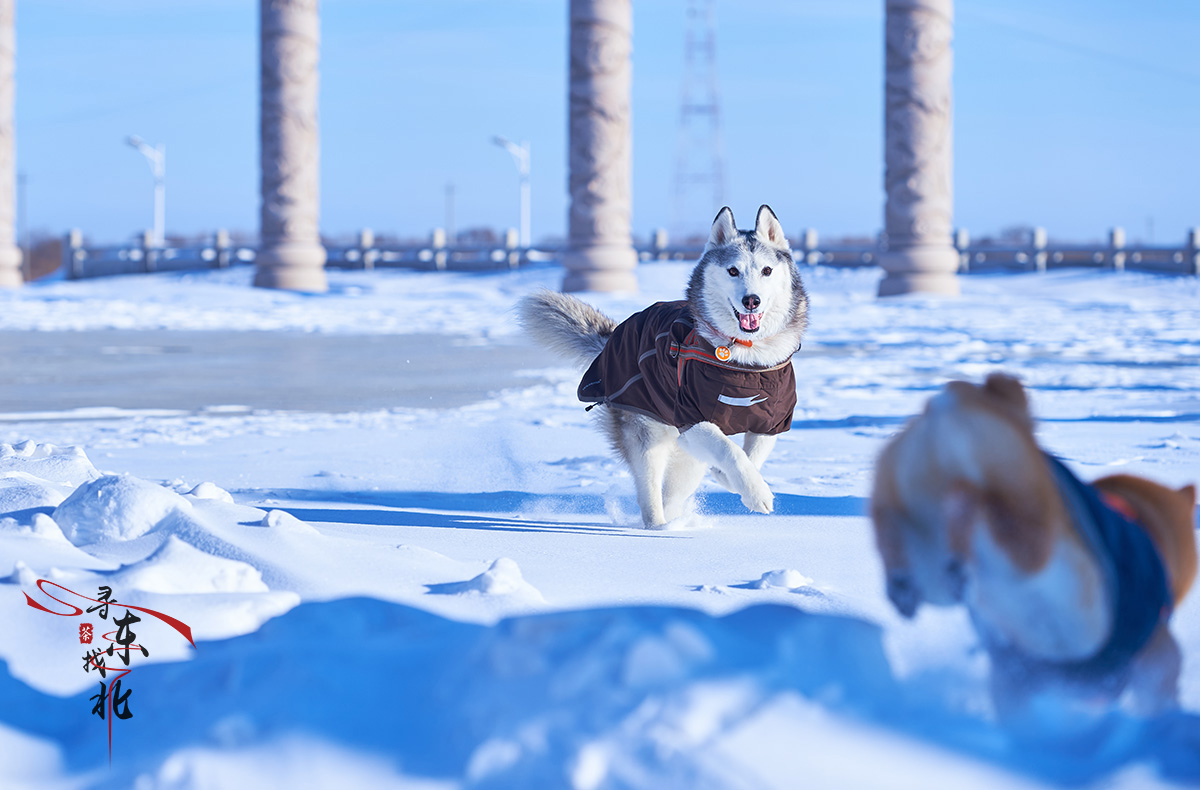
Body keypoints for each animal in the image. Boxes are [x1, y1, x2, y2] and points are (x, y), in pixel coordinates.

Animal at [868, 372, 1195, 710]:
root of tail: (953, 404)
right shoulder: (1156, 657)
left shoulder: (1017, 676)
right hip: (1025, 525)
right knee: (986, 509)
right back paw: (964, 508)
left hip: (928, 564)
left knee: (891, 519)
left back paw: (907, 580)